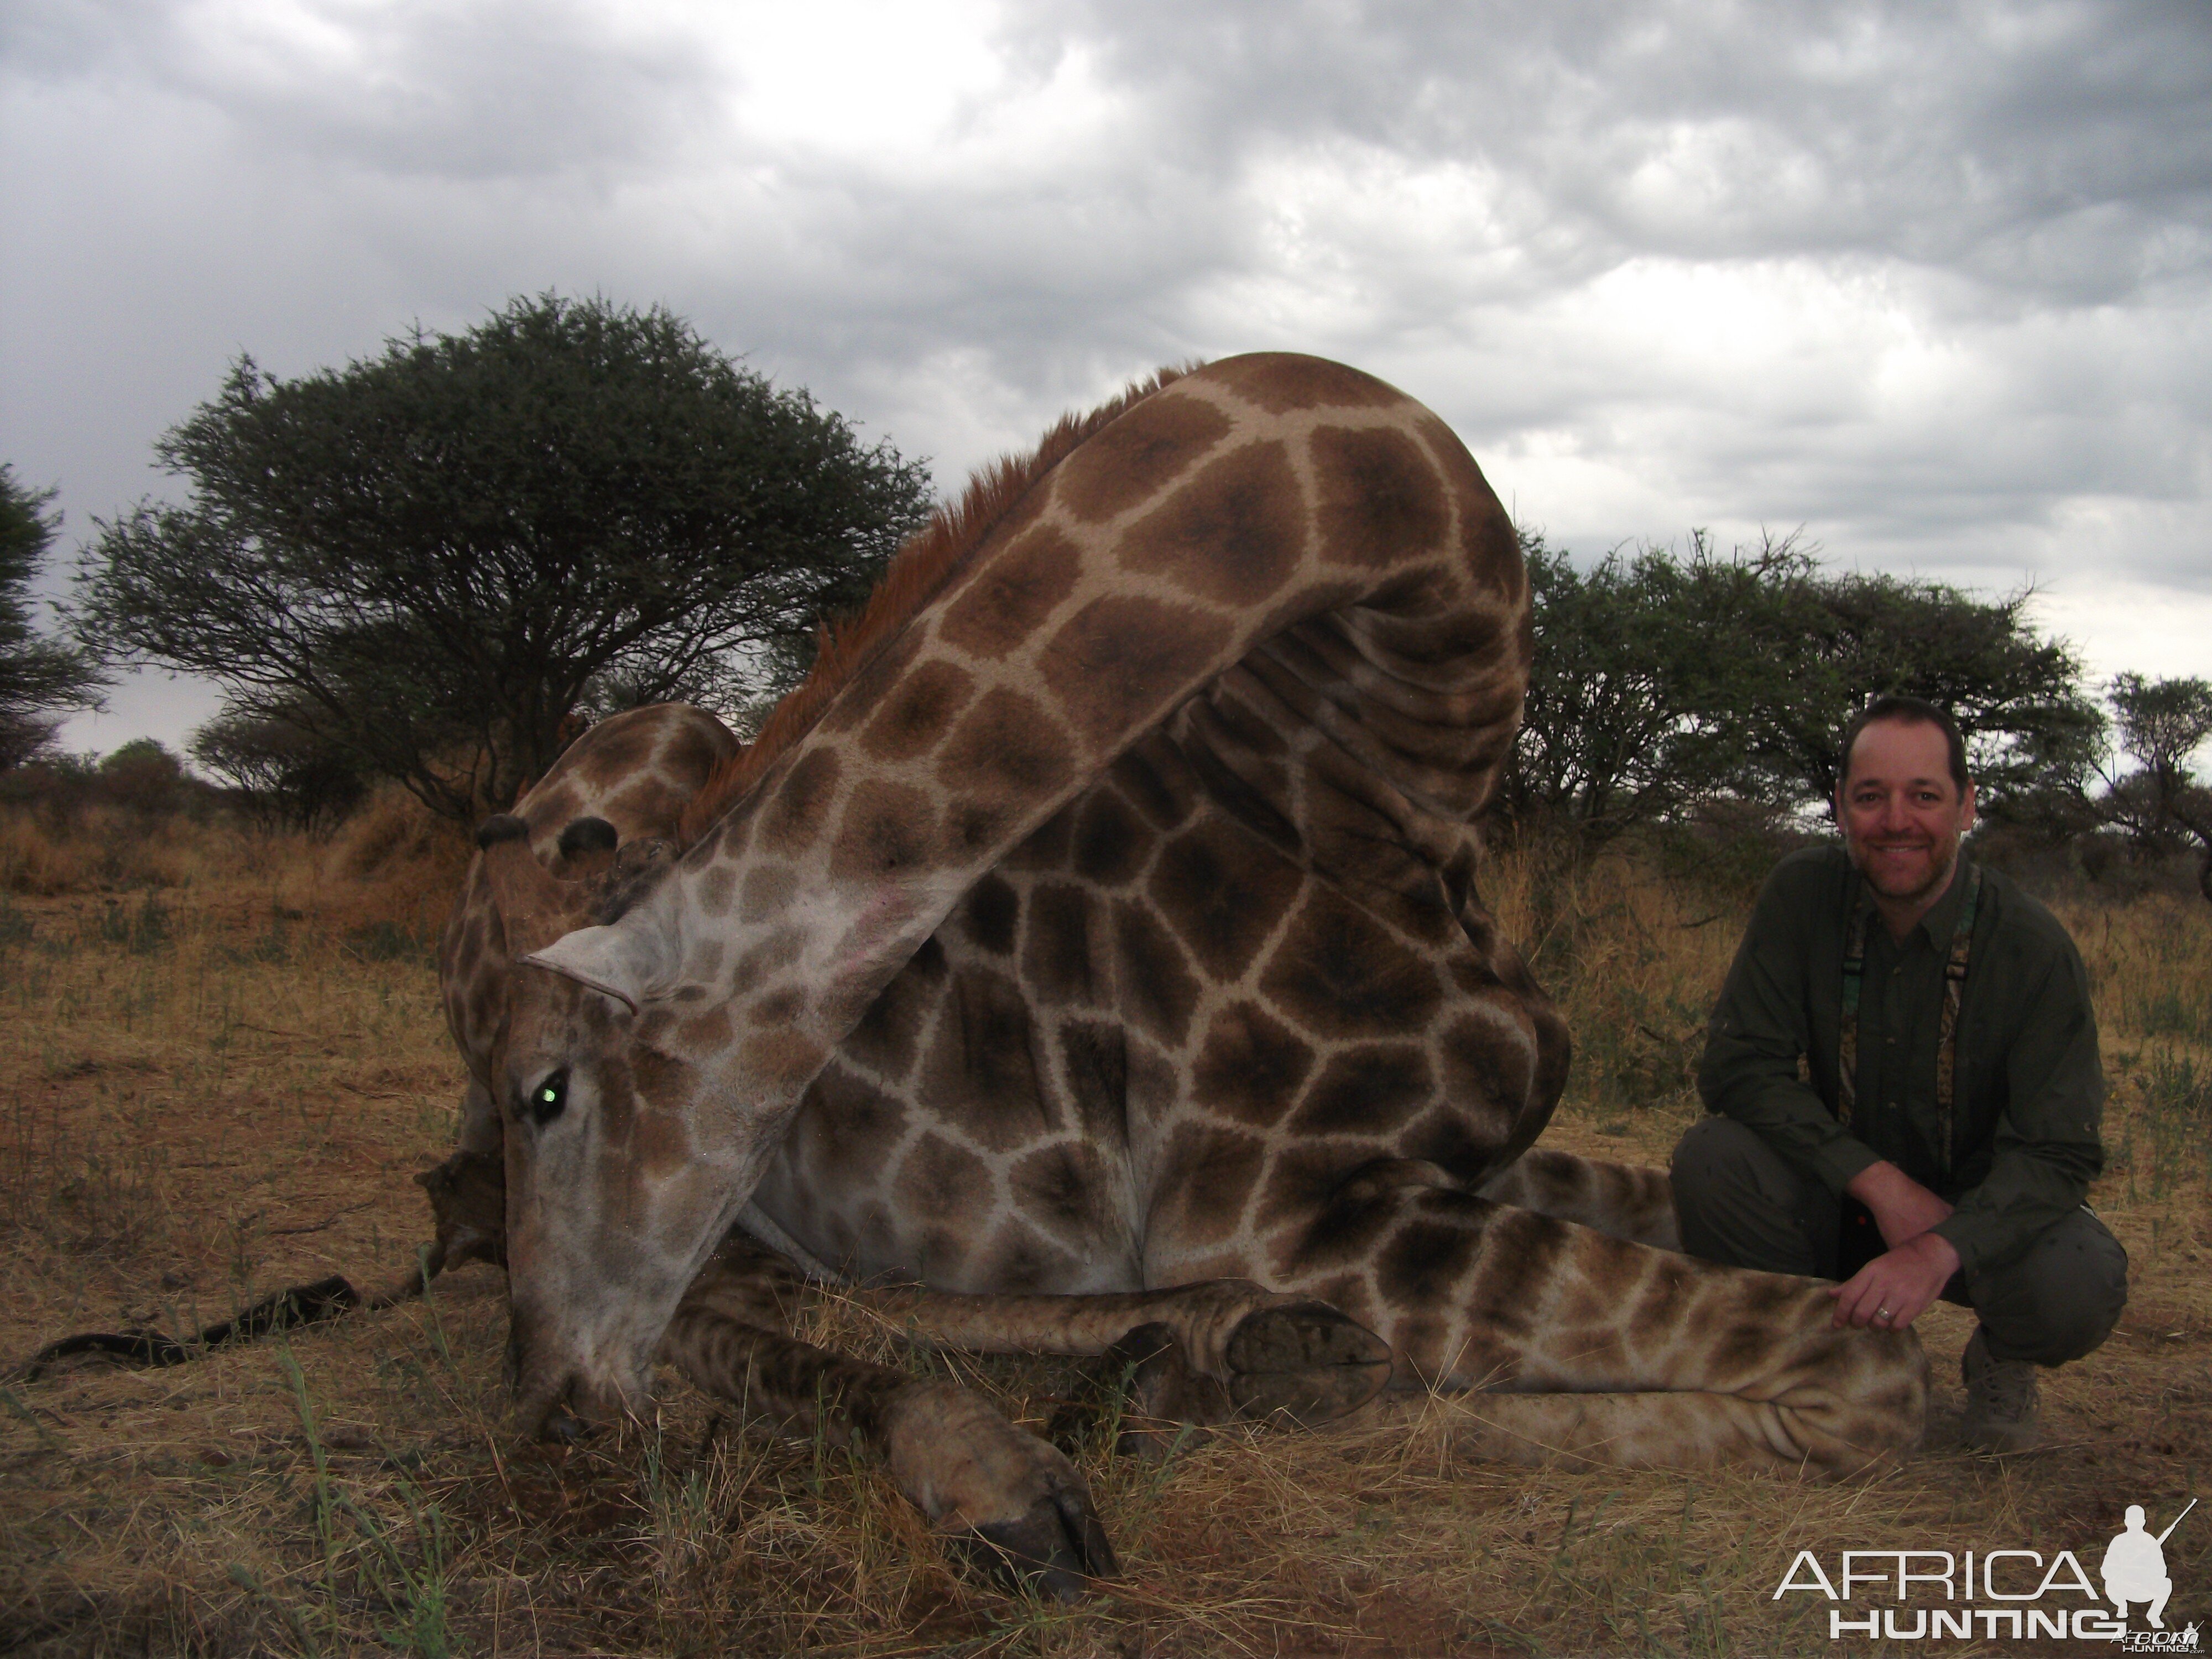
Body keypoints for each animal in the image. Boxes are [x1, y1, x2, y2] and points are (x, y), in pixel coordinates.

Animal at [476, 347, 1929, 1557]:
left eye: (551, 1095)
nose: (547, 1404)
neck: (1387, 789)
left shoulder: (1476, 1153)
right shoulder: (1285, 1208)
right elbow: (1865, 1372)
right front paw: (1293, 1401)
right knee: (746, 1305)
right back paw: (1064, 1445)